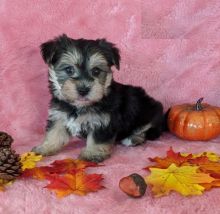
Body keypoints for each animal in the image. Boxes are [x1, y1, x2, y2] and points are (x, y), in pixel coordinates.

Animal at [31, 34, 164, 162]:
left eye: (96, 71)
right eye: (69, 69)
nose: (83, 89)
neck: (80, 106)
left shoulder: (103, 121)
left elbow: (97, 138)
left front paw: (93, 153)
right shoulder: (59, 115)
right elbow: (54, 132)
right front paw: (45, 147)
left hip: (148, 112)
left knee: (146, 129)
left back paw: (133, 138)